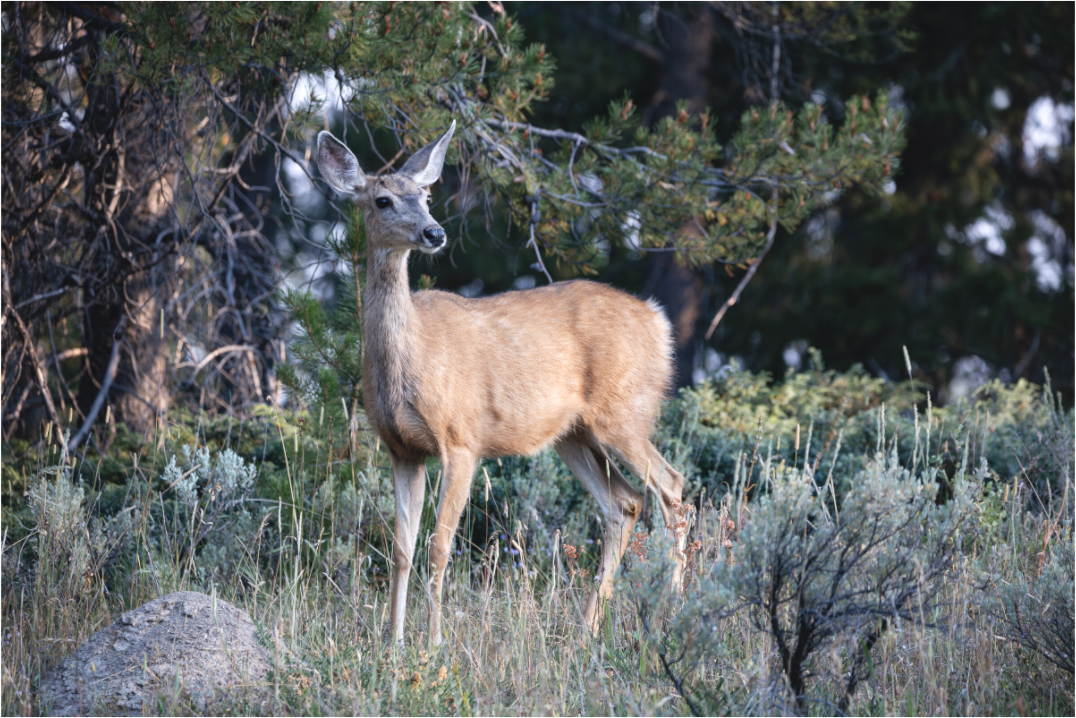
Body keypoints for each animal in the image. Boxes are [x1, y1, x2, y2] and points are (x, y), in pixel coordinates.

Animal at [316, 120, 687, 646]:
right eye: (382, 200)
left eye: (426, 195)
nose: (434, 232)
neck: (409, 363)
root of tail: (658, 320)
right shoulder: (402, 448)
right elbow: (401, 549)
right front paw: (393, 640)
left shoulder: (461, 439)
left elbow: (439, 546)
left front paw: (434, 643)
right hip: (573, 433)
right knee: (626, 503)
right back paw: (586, 630)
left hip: (625, 412)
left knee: (671, 486)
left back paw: (668, 617)